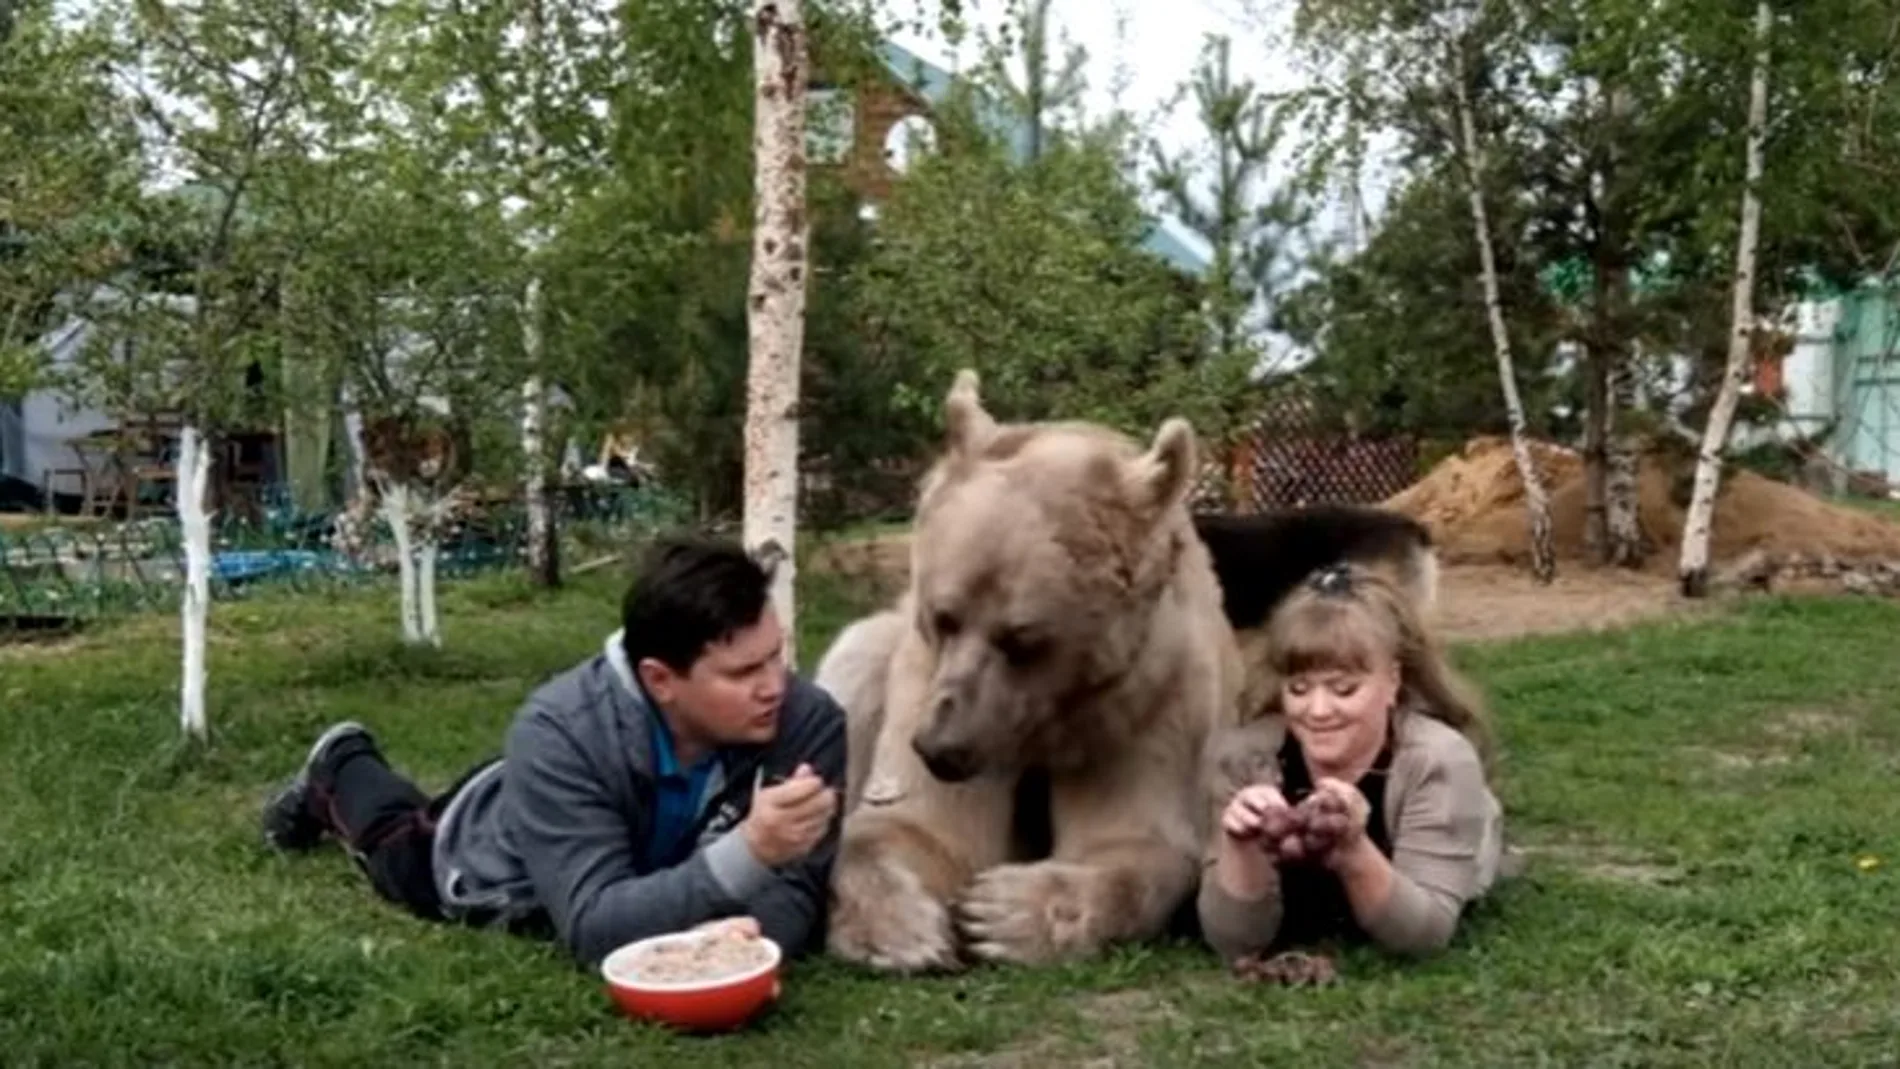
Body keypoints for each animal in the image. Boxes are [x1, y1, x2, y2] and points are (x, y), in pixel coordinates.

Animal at [817, 370, 1246, 972]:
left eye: (1022, 640)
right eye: (944, 617)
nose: (940, 747)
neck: (1049, 720)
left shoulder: (1151, 697)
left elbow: (1133, 838)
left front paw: (1001, 913)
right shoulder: (925, 677)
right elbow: (921, 826)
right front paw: (906, 928)